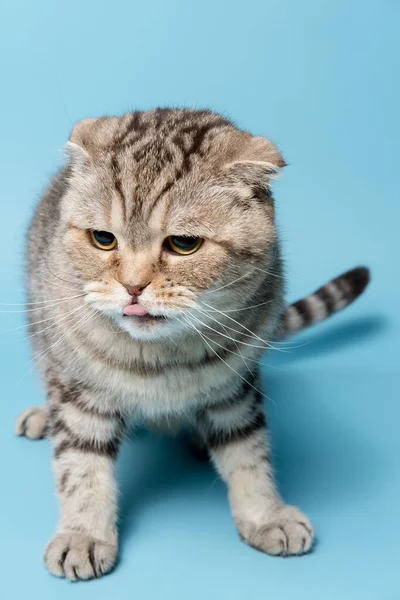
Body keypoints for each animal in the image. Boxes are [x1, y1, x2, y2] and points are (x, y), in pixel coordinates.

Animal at [14, 109, 370, 580]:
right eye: (102, 239)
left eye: (184, 244)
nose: (132, 287)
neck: (159, 359)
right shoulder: (79, 393)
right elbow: (81, 468)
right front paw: (83, 535)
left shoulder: (235, 388)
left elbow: (248, 455)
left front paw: (265, 515)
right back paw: (43, 415)